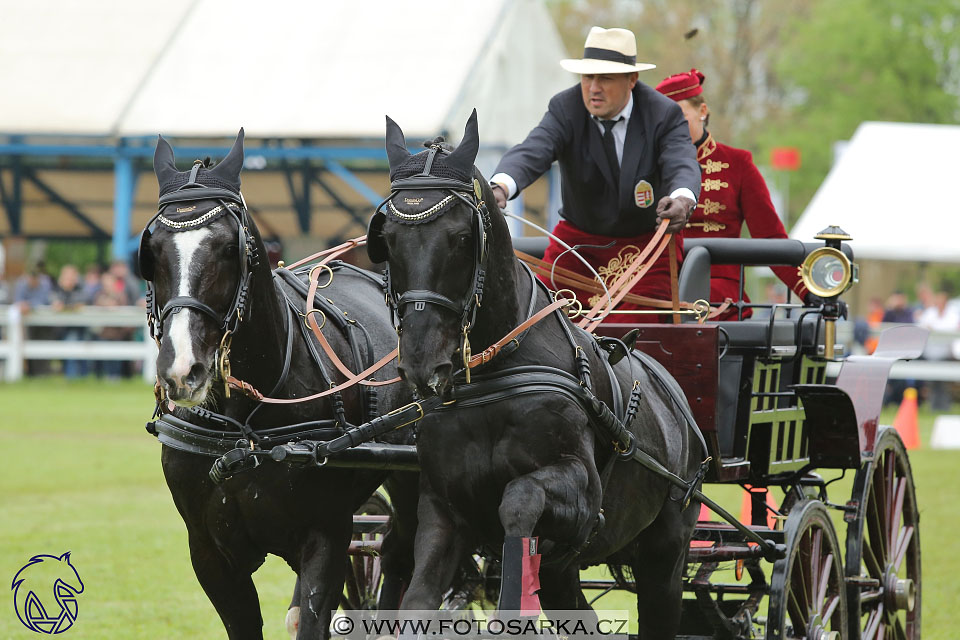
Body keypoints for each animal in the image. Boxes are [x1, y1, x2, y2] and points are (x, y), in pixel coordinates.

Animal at [142, 131, 416, 640]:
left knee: (400, 556)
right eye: (153, 252)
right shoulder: (209, 554)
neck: (243, 430)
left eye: (230, 248)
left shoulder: (325, 536)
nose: (182, 370)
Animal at [368, 112, 704, 636]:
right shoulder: (443, 508)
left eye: (462, 237)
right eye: (387, 241)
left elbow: (519, 498)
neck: (495, 377)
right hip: (568, 573)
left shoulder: (582, 498)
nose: (422, 362)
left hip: (665, 556)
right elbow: (418, 601)